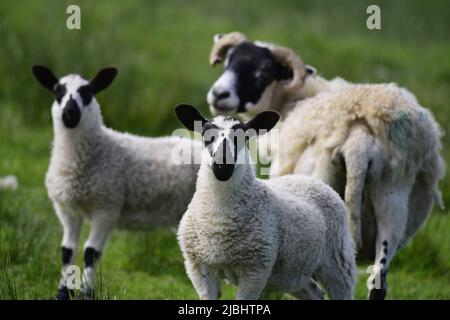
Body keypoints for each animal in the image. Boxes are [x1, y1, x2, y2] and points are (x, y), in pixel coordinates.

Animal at [31, 65, 200, 300]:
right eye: (58, 91)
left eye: (88, 92)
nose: (70, 114)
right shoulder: (67, 209)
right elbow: (67, 251)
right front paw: (63, 292)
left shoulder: (106, 206)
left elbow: (91, 253)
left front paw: (86, 293)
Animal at [175, 104, 356, 300]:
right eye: (206, 136)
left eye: (244, 138)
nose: (222, 166)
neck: (218, 221)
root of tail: (307, 179)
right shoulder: (198, 268)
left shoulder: (255, 271)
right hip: (291, 273)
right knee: (313, 292)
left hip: (338, 259)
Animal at [206, 32, 444, 300]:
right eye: (228, 63)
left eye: (263, 74)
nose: (219, 94)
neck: (295, 100)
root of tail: (360, 136)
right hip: (393, 194)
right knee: (379, 278)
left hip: (324, 185)